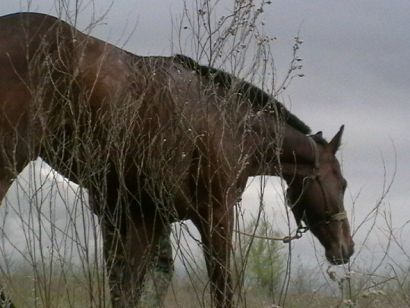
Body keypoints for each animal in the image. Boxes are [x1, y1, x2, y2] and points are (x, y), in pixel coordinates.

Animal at [0, 12, 352, 308]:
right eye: (343, 183)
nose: (346, 248)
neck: (229, 124)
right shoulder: (215, 215)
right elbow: (221, 289)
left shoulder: (137, 216)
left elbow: (130, 289)